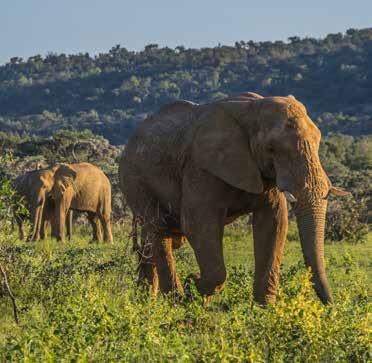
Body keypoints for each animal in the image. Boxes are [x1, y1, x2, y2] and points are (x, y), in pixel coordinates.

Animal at [120, 92, 348, 306]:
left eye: (318, 141)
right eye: (272, 149)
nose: (332, 306)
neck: (253, 108)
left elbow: (274, 223)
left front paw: (264, 309)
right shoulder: (201, 168)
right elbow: (198, 225)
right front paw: (193, 286)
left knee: (158, 237)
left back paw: (147, 299)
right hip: (136, 180)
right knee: (159, 230)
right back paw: (174, 301)